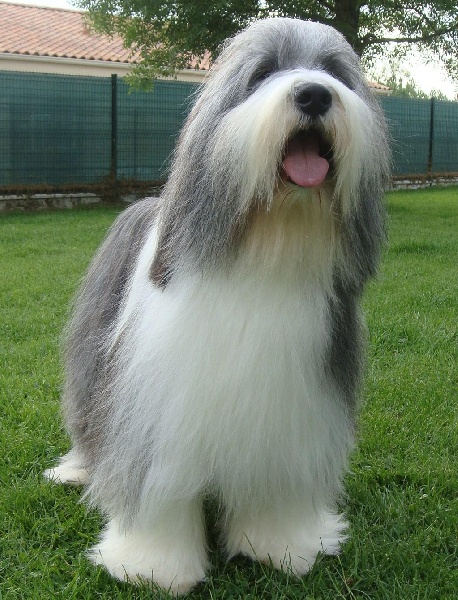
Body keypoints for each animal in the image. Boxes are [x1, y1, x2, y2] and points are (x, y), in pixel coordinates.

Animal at [44, 17, 389, 595]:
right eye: (263, 73)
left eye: (336, 73)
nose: (315, 94)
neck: (265, 258)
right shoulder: (154, 417)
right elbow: (156, 493)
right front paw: (153, 567)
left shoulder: (293, 417)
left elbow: (276, 493)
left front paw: (282, 549)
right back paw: (75, 471)